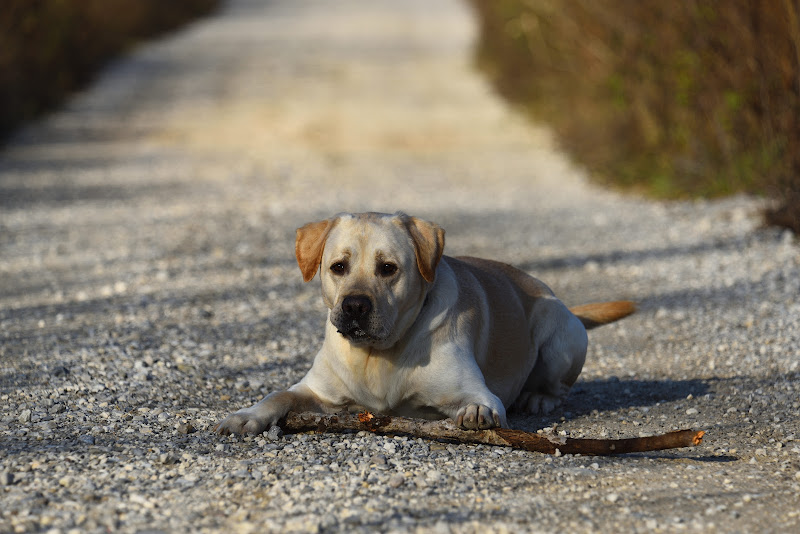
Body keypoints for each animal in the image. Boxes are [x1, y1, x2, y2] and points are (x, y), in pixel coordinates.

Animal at [216, 211, 636, 438]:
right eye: (338, 267)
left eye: (388, 268)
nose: (354, 305)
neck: (377, 355)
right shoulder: (315, 391)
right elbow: (277, 395)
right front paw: (246, 416)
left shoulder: (477, 392)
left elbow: (479, 404)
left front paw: (475, 414)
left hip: (560, 328)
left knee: (557, 386)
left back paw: (538, 397)